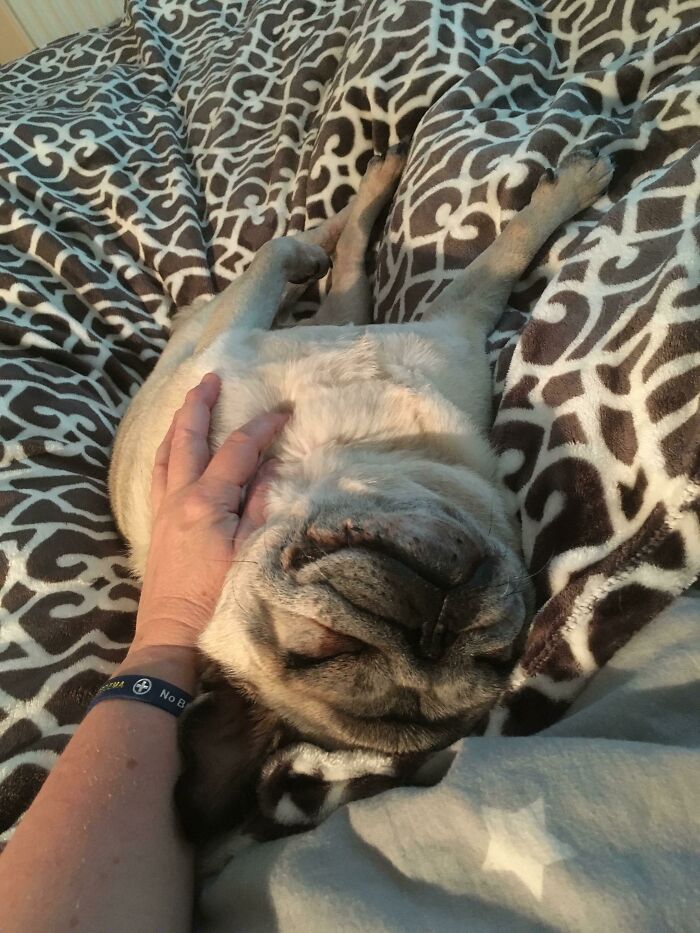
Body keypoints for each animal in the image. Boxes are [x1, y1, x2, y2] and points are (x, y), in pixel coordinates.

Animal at [108, 142, 612, 840]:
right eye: (320, 649)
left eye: (494, 659)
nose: (432, 627)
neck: (342, 460)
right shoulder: (444, 323)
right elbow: (495, 259)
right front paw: (570, 192)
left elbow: (493, 256)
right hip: (231, 324)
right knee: (293, 269)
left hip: (279, 318)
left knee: (339, 276)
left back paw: (360, 200)